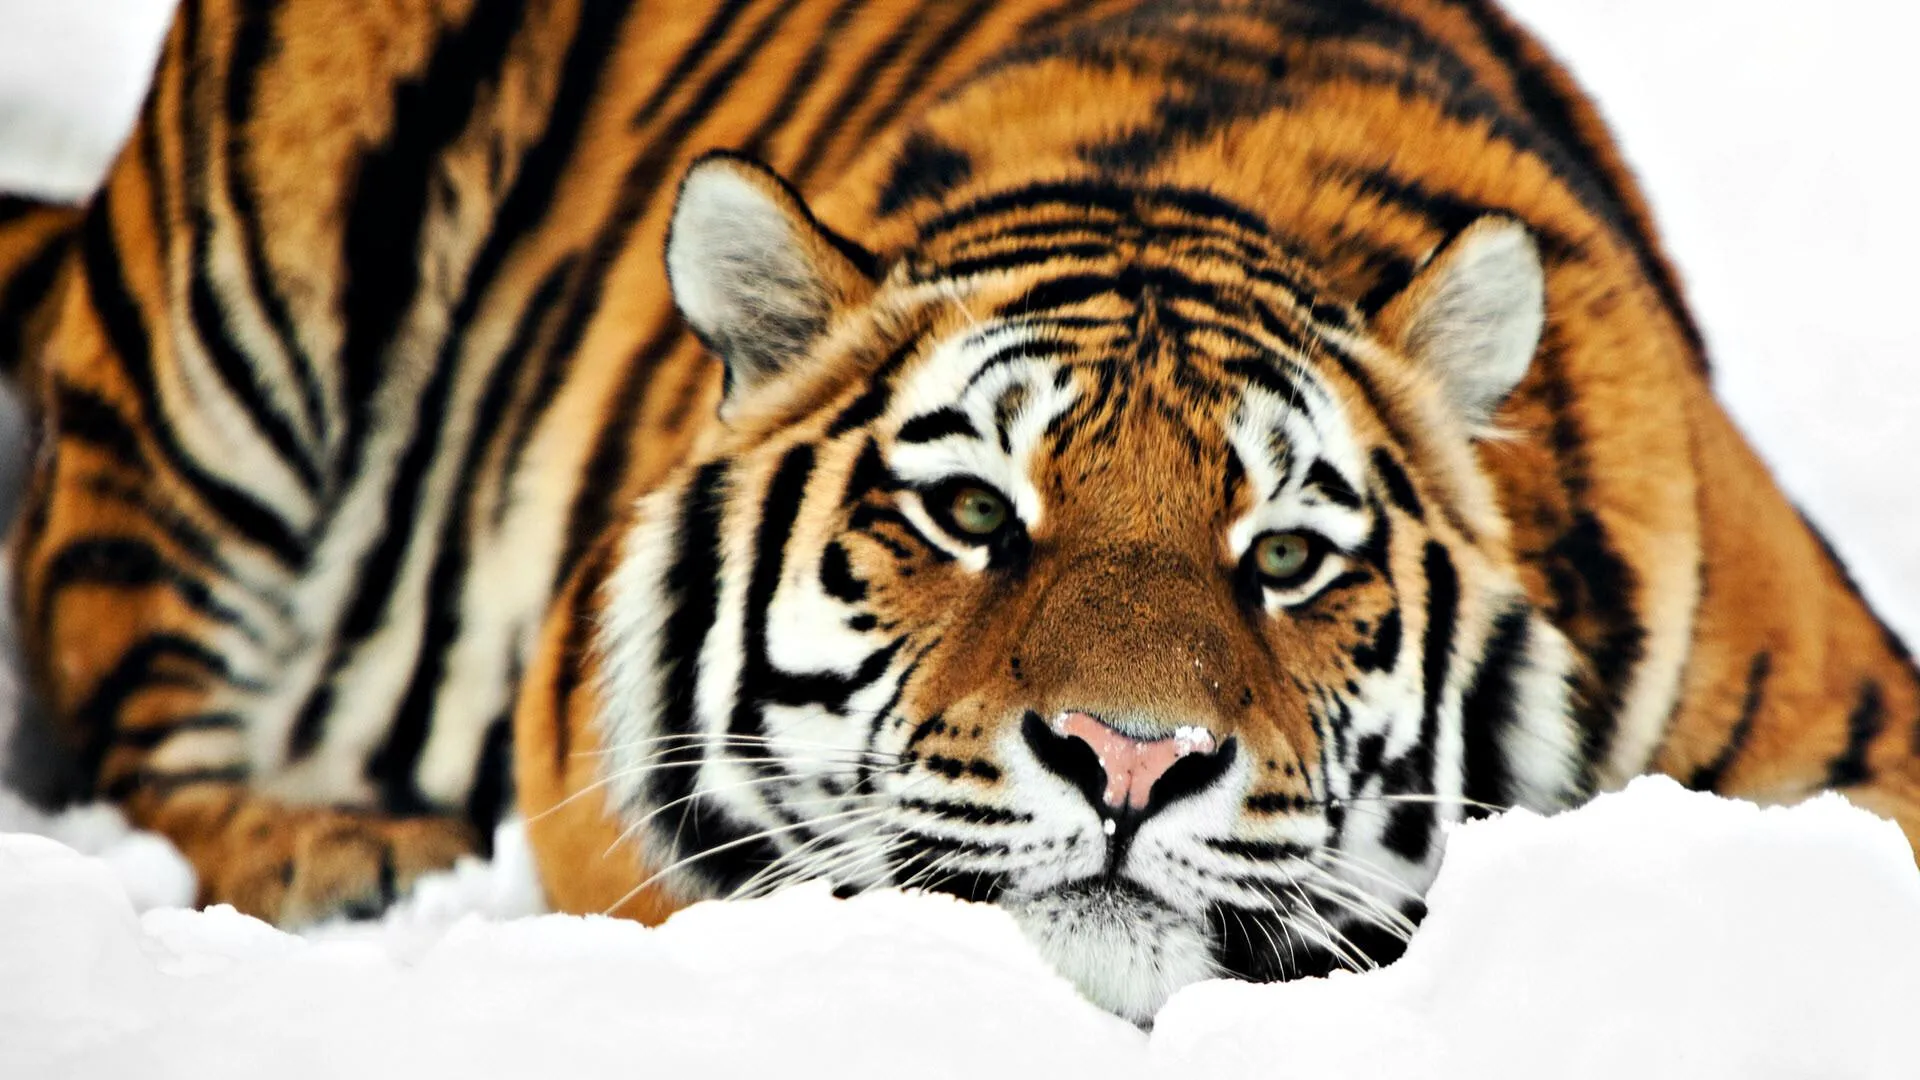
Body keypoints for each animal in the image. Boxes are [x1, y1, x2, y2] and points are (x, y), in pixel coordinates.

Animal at [3, 0, 1917, 1023]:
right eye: (973, 511)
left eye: (1289, 556)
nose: (1131, 759)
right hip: (230, 330)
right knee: (136, 705)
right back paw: (337, 853)